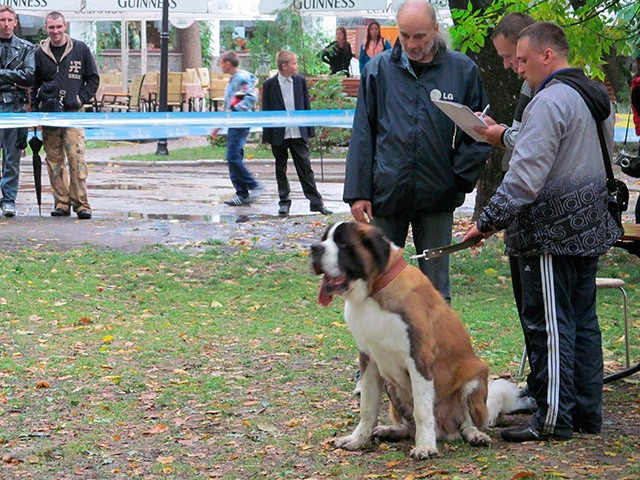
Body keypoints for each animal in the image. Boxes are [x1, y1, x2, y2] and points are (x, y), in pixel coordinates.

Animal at [312, 221, 528, 458]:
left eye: (342, 243)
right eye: (324, 239)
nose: (314, 248)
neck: (375, 291)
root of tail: (445, 431)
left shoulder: (419, 360)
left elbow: (422, 410)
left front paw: (425, 446)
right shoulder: (369, 360)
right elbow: (367, 407)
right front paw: (357, 440)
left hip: (474, 379)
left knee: (466, 422)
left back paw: (475, 435)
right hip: (391, 384)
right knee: (408, 426)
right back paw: (391, 430)